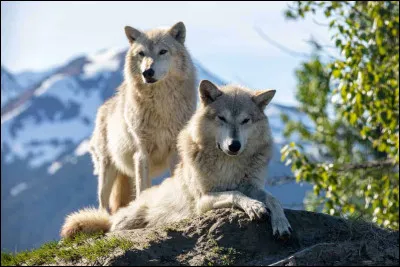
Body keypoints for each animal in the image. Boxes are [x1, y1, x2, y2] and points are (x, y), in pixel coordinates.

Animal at [63, 80, 294, 239]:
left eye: (246, 120)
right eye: (222, 118)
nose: (234, 145)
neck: (229, 164)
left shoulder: (253, 186)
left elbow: (274, 199)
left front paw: (281, 223)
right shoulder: (203, 200)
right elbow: (235, 193)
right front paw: (254, 207)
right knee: (111, 228)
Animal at [90, 21, 198, 215]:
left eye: (163, 51)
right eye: (141, 53)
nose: (147, 72)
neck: (162, 107)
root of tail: (103, 108)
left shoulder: (174, 152)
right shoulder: (142, 154)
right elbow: (143, 189)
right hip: (107, 171)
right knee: (103, 204)